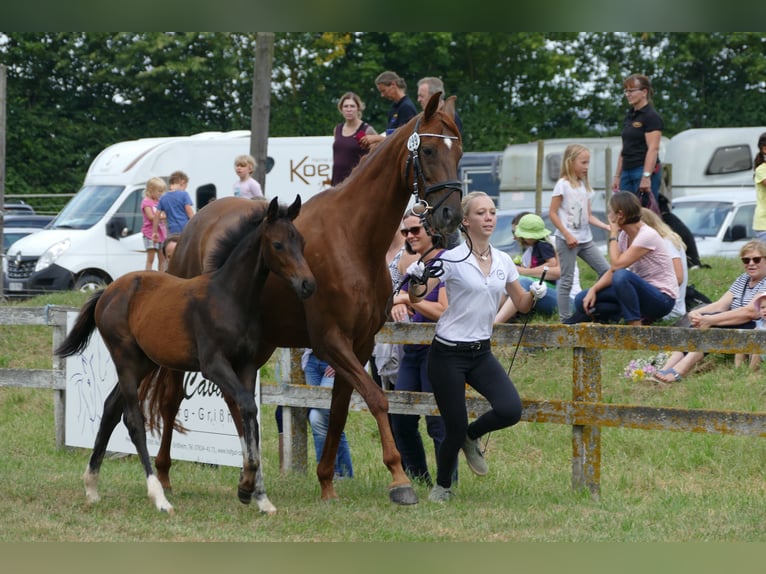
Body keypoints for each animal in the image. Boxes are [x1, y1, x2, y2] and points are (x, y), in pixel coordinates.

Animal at [56, 199, 316, 516]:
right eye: (277, 244)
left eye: (301, 242)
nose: (308, 284)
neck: (229, 297)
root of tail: (108, 291)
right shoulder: (213, 365)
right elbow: (245, 407)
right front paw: (247, 486)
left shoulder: (246, 366)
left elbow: (248, 413)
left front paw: (257, 495)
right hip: (125, 360)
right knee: (133, 420)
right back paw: (159, 496)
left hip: (144, 363)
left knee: (110, 409)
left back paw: (92, 487)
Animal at [146, 92, 464, 506]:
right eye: (427, 150)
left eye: (459, 152)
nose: (451, 216)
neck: (354, 238)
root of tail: (192, 228)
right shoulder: (330, 341)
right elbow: (377, 398)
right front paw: (399, 479)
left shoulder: (359, 345)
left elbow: (339, 410)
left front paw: (327, 482)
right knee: (171, 398)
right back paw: (165, 473)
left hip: (258, 346)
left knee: (237, 402)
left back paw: (250, 476)